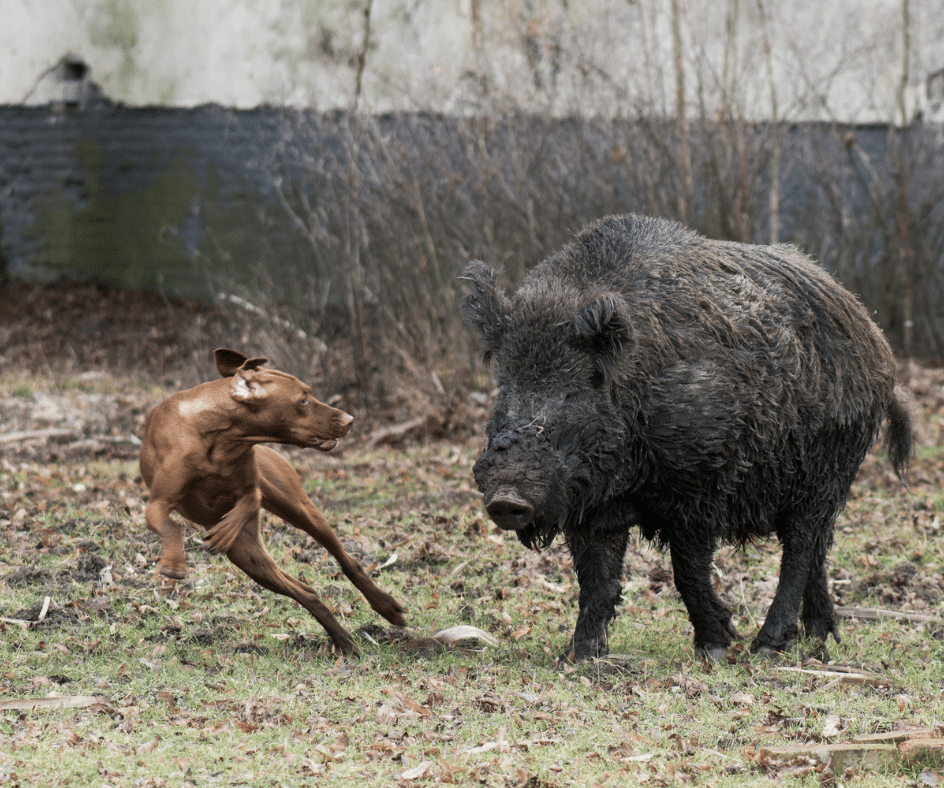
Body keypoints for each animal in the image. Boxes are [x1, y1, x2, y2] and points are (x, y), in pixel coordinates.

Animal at [139, 350, 406, 652]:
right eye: (303, 400)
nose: (349, 420)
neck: (220, 437)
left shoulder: (252, 486)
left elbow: (249, 500)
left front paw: (226, 528)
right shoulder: (157, 504)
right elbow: (171, 526)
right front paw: (174, 564)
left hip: (300, 511)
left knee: (346, 560)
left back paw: (385, 607)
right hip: (249, 557)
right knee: (305, 592)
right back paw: (344, 641)